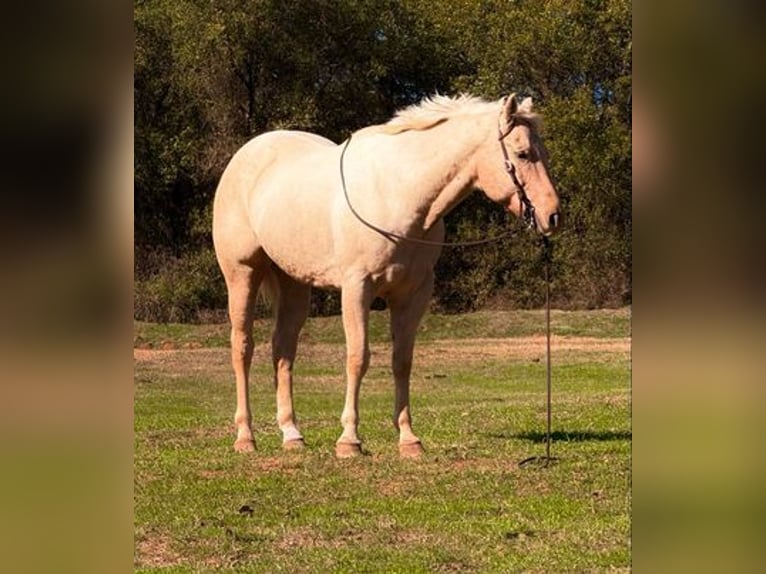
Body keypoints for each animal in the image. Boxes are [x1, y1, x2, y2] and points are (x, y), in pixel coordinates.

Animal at [213, 93, 560, 460]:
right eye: (522, 153)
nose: (552, 216)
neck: (399, 194)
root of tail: (245, 156)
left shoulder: (413, 294)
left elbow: (401, 361)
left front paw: (408, 439)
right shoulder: (357, 288)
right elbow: (358, 358)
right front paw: (349, 439)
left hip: (293, 285)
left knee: (283, 350)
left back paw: (292, 434)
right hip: (242, 274)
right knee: (243, 348)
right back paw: (245, 436)